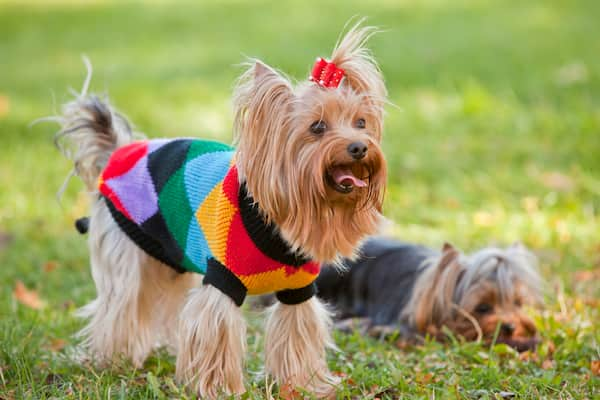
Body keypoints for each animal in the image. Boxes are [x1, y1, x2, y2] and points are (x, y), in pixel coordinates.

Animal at [54, 23, 386, 398]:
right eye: (317, 127)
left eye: (361, 123)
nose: (359, 147)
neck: (274, 221)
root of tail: (118, 152)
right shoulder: (222, 280)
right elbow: (215, 332)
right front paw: (219, 389)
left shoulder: (298, 289)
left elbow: (296, 331)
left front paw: (304, 385)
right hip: (125, 251)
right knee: (121, 304)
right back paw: (112, 360)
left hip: (170, 256)